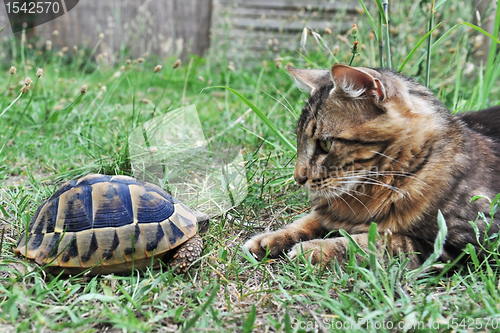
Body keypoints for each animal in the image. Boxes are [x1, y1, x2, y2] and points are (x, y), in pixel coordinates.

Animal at [244, 63, 500, 268]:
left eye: (325, 144)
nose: (298, 178)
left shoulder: (465, 244)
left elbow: (378, 242)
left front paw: (315, 249)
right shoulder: (332, 213)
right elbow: (306, 221)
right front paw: (269, 239)